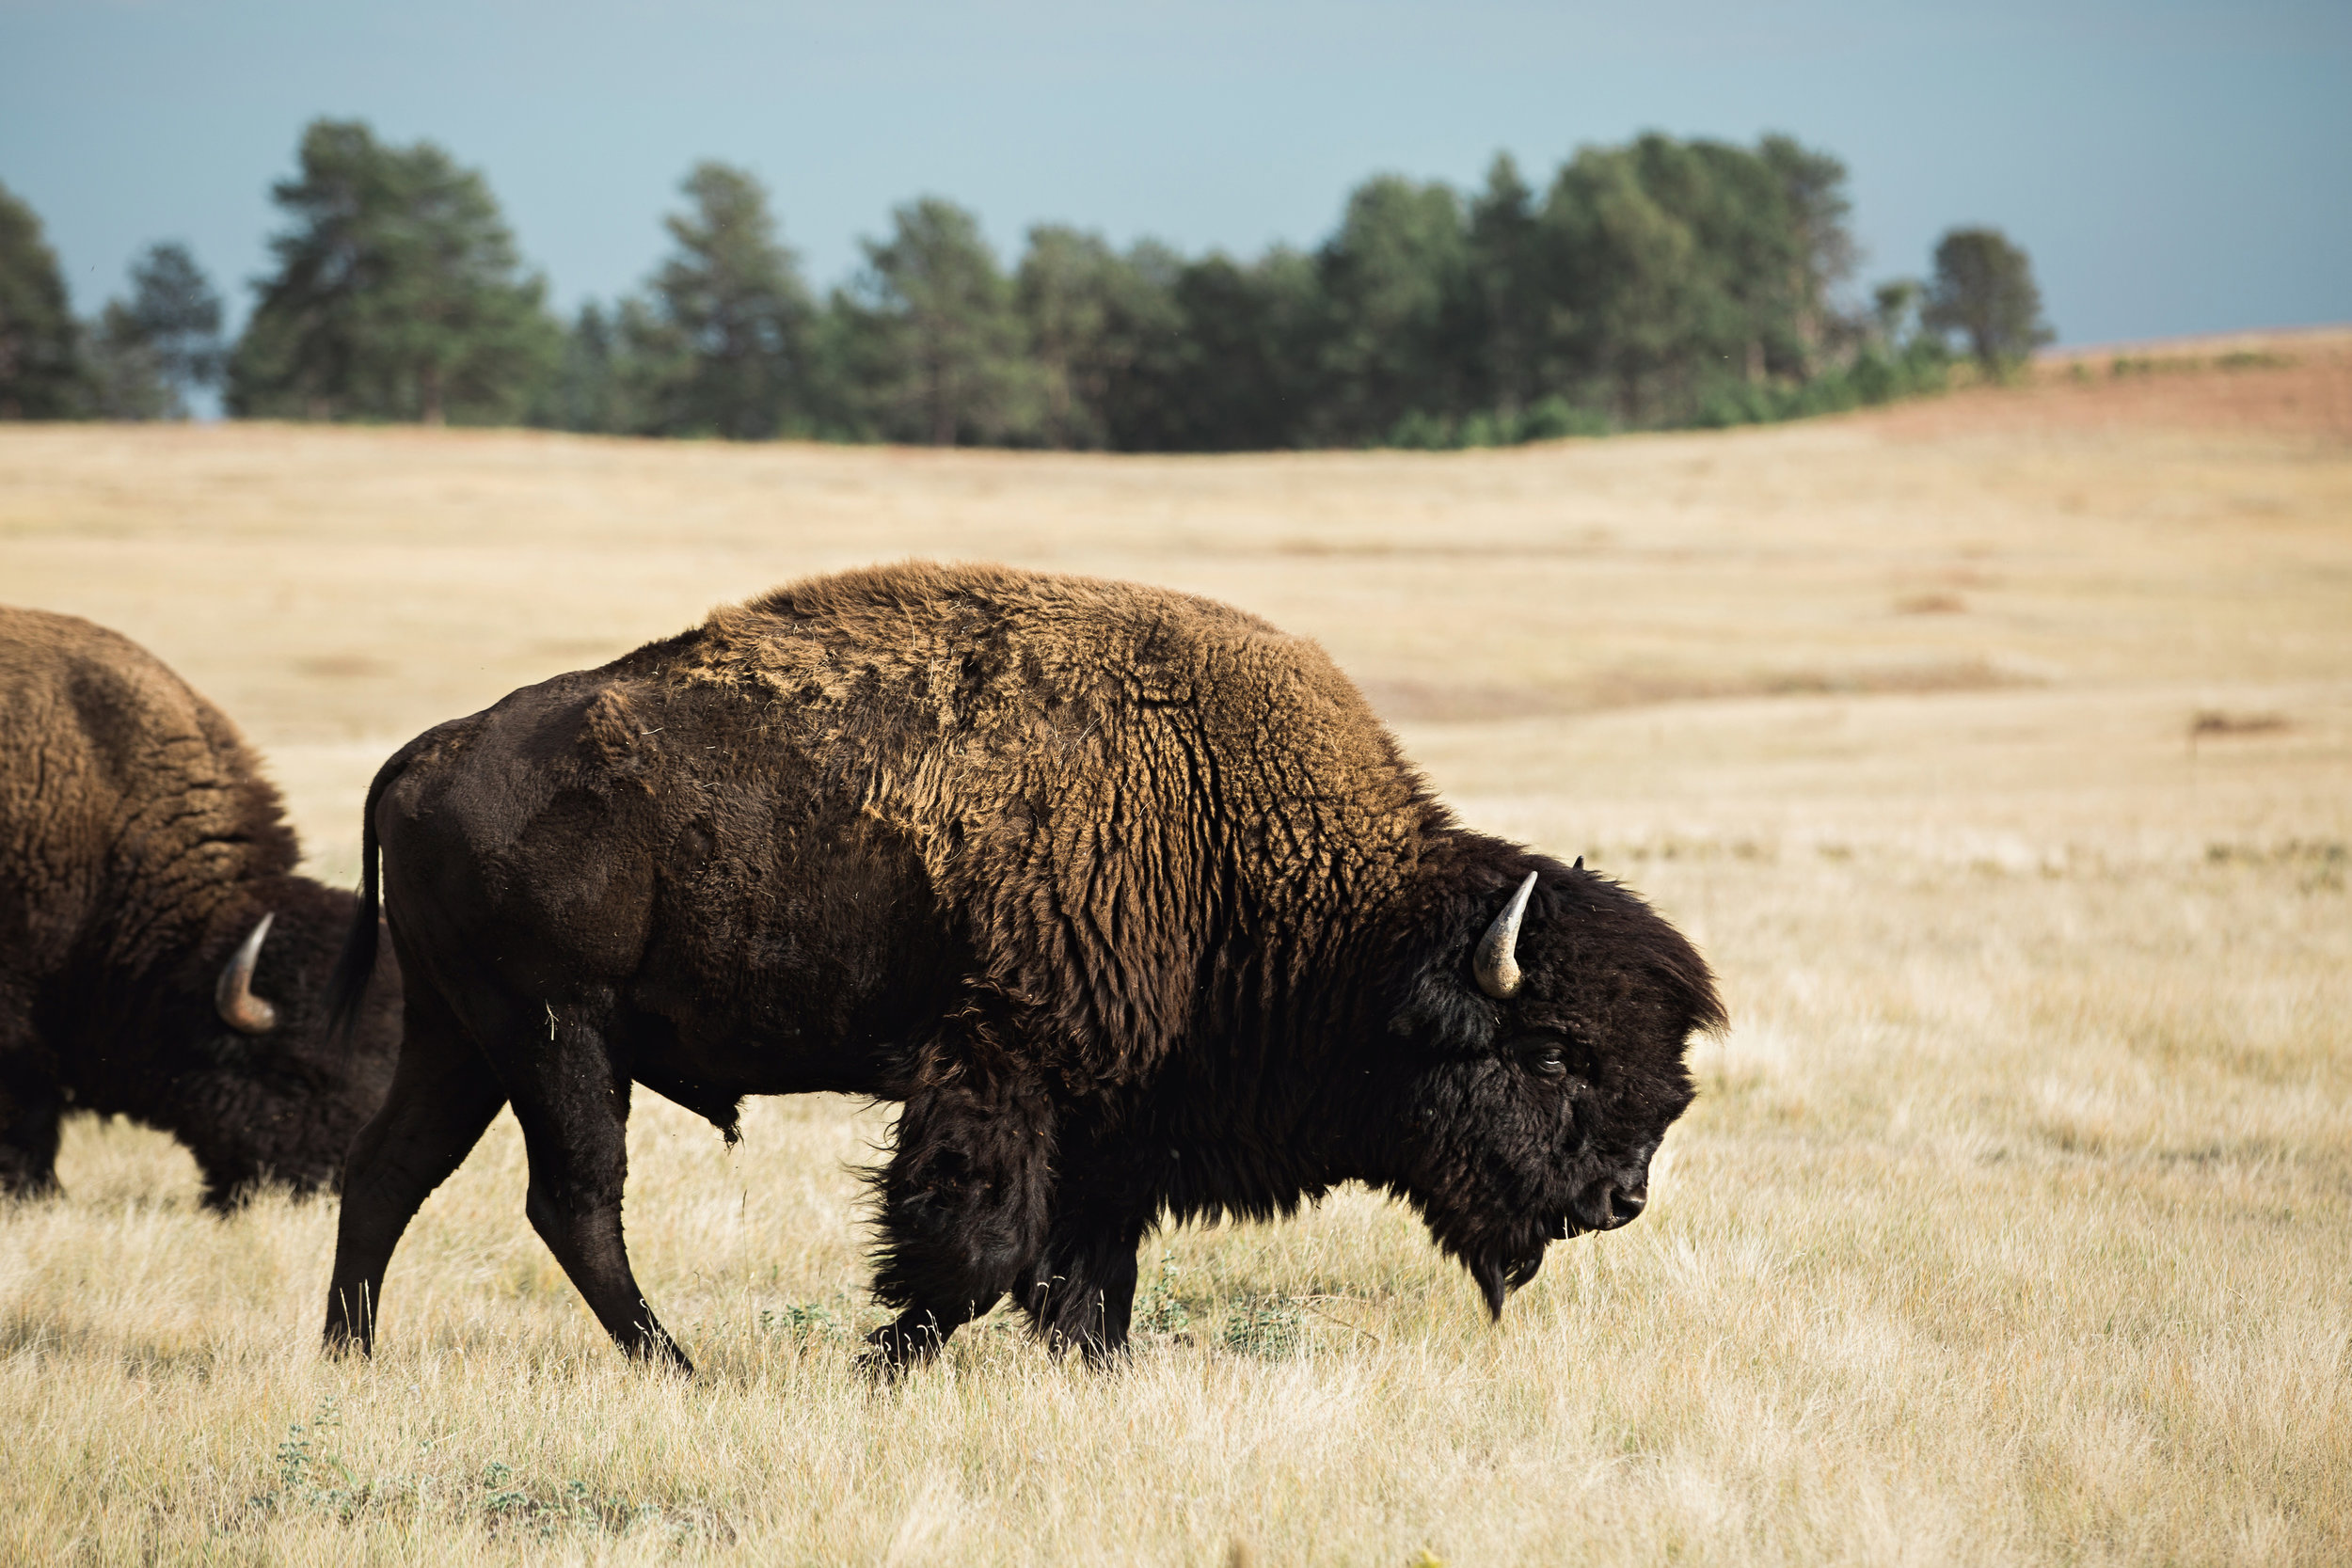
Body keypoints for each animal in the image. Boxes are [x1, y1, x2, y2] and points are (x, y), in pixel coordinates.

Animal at [326, 566, 1731, 1372]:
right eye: (1551, 1051)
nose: (1621, 1196)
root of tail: (428, 753)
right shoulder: (1005, 1065)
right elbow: (981, 1247)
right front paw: (879, 1358)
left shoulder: (1120, 1113)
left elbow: (1087, 1265)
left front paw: (1089, 1366)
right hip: (558, 1031)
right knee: (573, 1199)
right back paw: (673, 1364)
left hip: (464, 1032)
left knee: (391, 1170)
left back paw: (350, 1354)